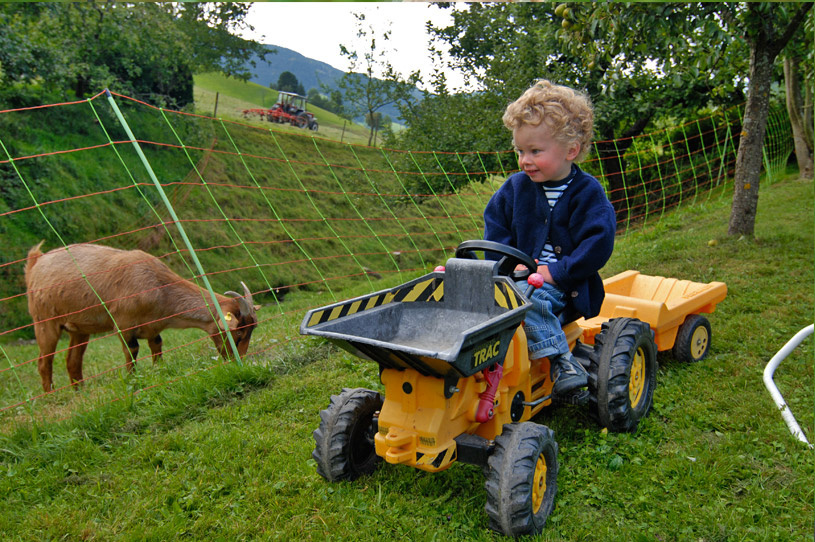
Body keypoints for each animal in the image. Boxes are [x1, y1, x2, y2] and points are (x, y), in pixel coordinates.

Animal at [24, 242, 259, 392]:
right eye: (237, 335)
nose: (237, 361)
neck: (158, 286)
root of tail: (35, 264)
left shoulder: (153, 328)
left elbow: (157, 347)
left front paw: (159, 372)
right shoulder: (123, 324)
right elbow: (132, 350)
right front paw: (132, 380)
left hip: (80, 329)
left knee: (72, 361)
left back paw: (79, 391)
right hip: (44, 322)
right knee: (44, 362)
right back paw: (51, 395)